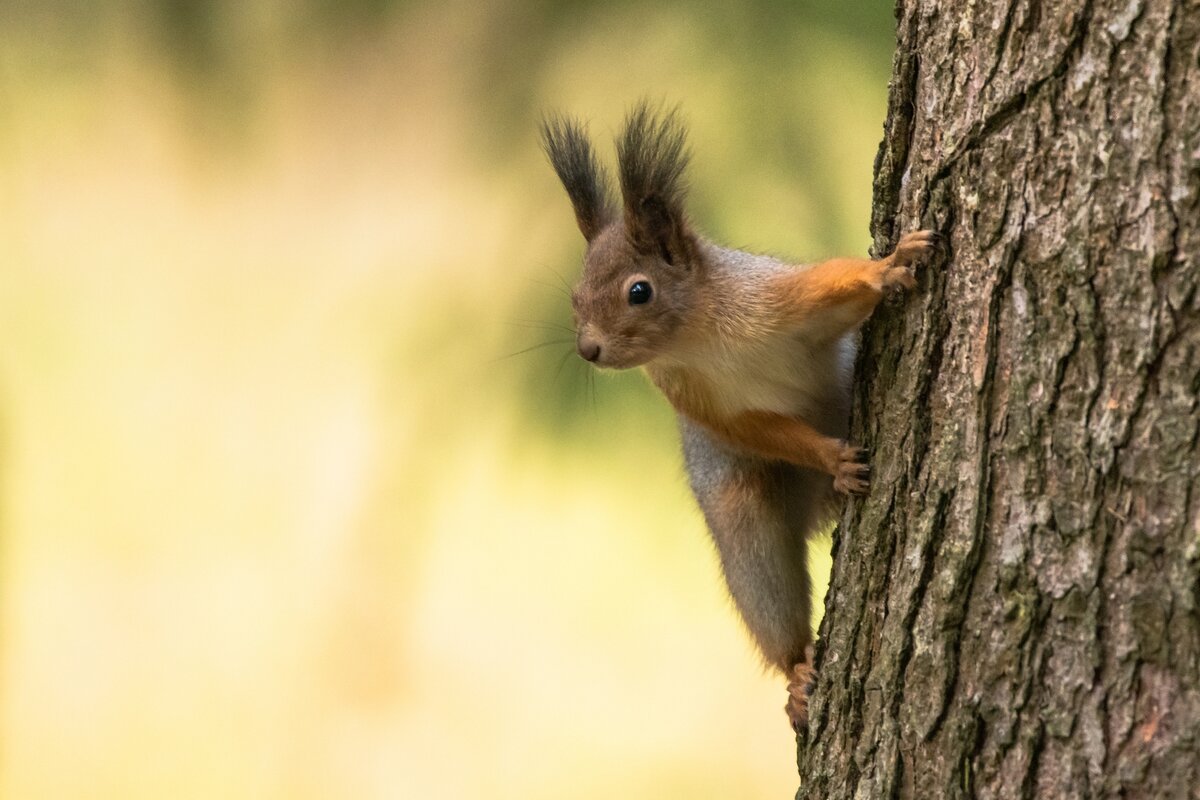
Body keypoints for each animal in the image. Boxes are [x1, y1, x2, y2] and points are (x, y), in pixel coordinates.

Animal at [540, 104, 940, 734]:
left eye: (639, 291)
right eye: (576, 297)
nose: (589, 350)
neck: (696, 339)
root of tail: (815, 512)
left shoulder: (779, 301)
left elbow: (841, 285)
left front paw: (890, 263)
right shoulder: (700, 402)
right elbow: (757, 428)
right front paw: (833, 458)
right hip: (744, 518)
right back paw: (798, 675)